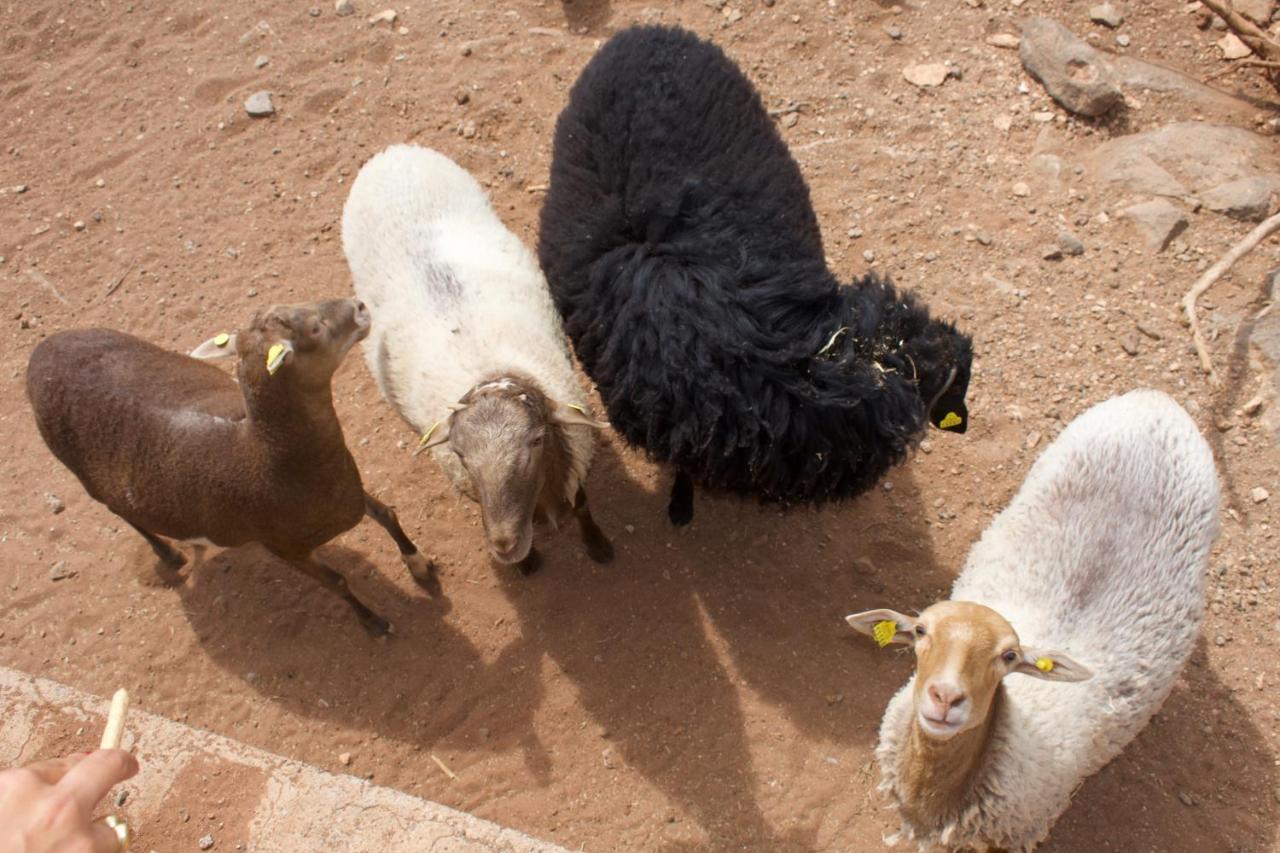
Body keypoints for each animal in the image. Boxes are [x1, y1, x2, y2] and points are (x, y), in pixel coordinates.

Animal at [26, 295, 430, 635]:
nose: (359, 306)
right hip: (86, 477)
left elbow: (386, 513)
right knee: (123, 513)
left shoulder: (349, 490)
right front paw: (374, 623)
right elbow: (338, 582)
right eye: (315, 328)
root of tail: (38, 354)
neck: (266, 457)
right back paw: (168, 554)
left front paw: (419, 564)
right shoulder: (284, 547)